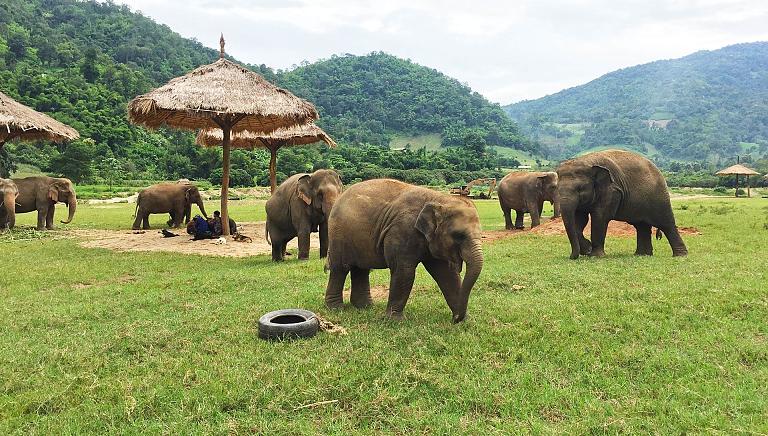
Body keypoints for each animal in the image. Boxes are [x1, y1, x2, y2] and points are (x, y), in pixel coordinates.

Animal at [324, 179, 484, 323]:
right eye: (458, 235)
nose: (456, 319)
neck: (439, 199)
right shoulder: (402, 231)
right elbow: (404, 271)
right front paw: (395, 321)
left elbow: (447, 274)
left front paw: (465, 320)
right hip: (338, 234)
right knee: (340, 268)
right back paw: (336, 308)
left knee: (361, 269)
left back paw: (365, 307)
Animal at [556, 149, 688, 259]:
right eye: (557, 189)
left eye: (580, 189)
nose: (572, 256)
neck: (587, 161)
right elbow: (579, 220)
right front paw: (587, 249)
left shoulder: (611, 190)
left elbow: (599, 218)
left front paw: (595, 256)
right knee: (642, 226)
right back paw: (642, 255)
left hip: (659, 196)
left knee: (666, 224)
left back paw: (680, 256)